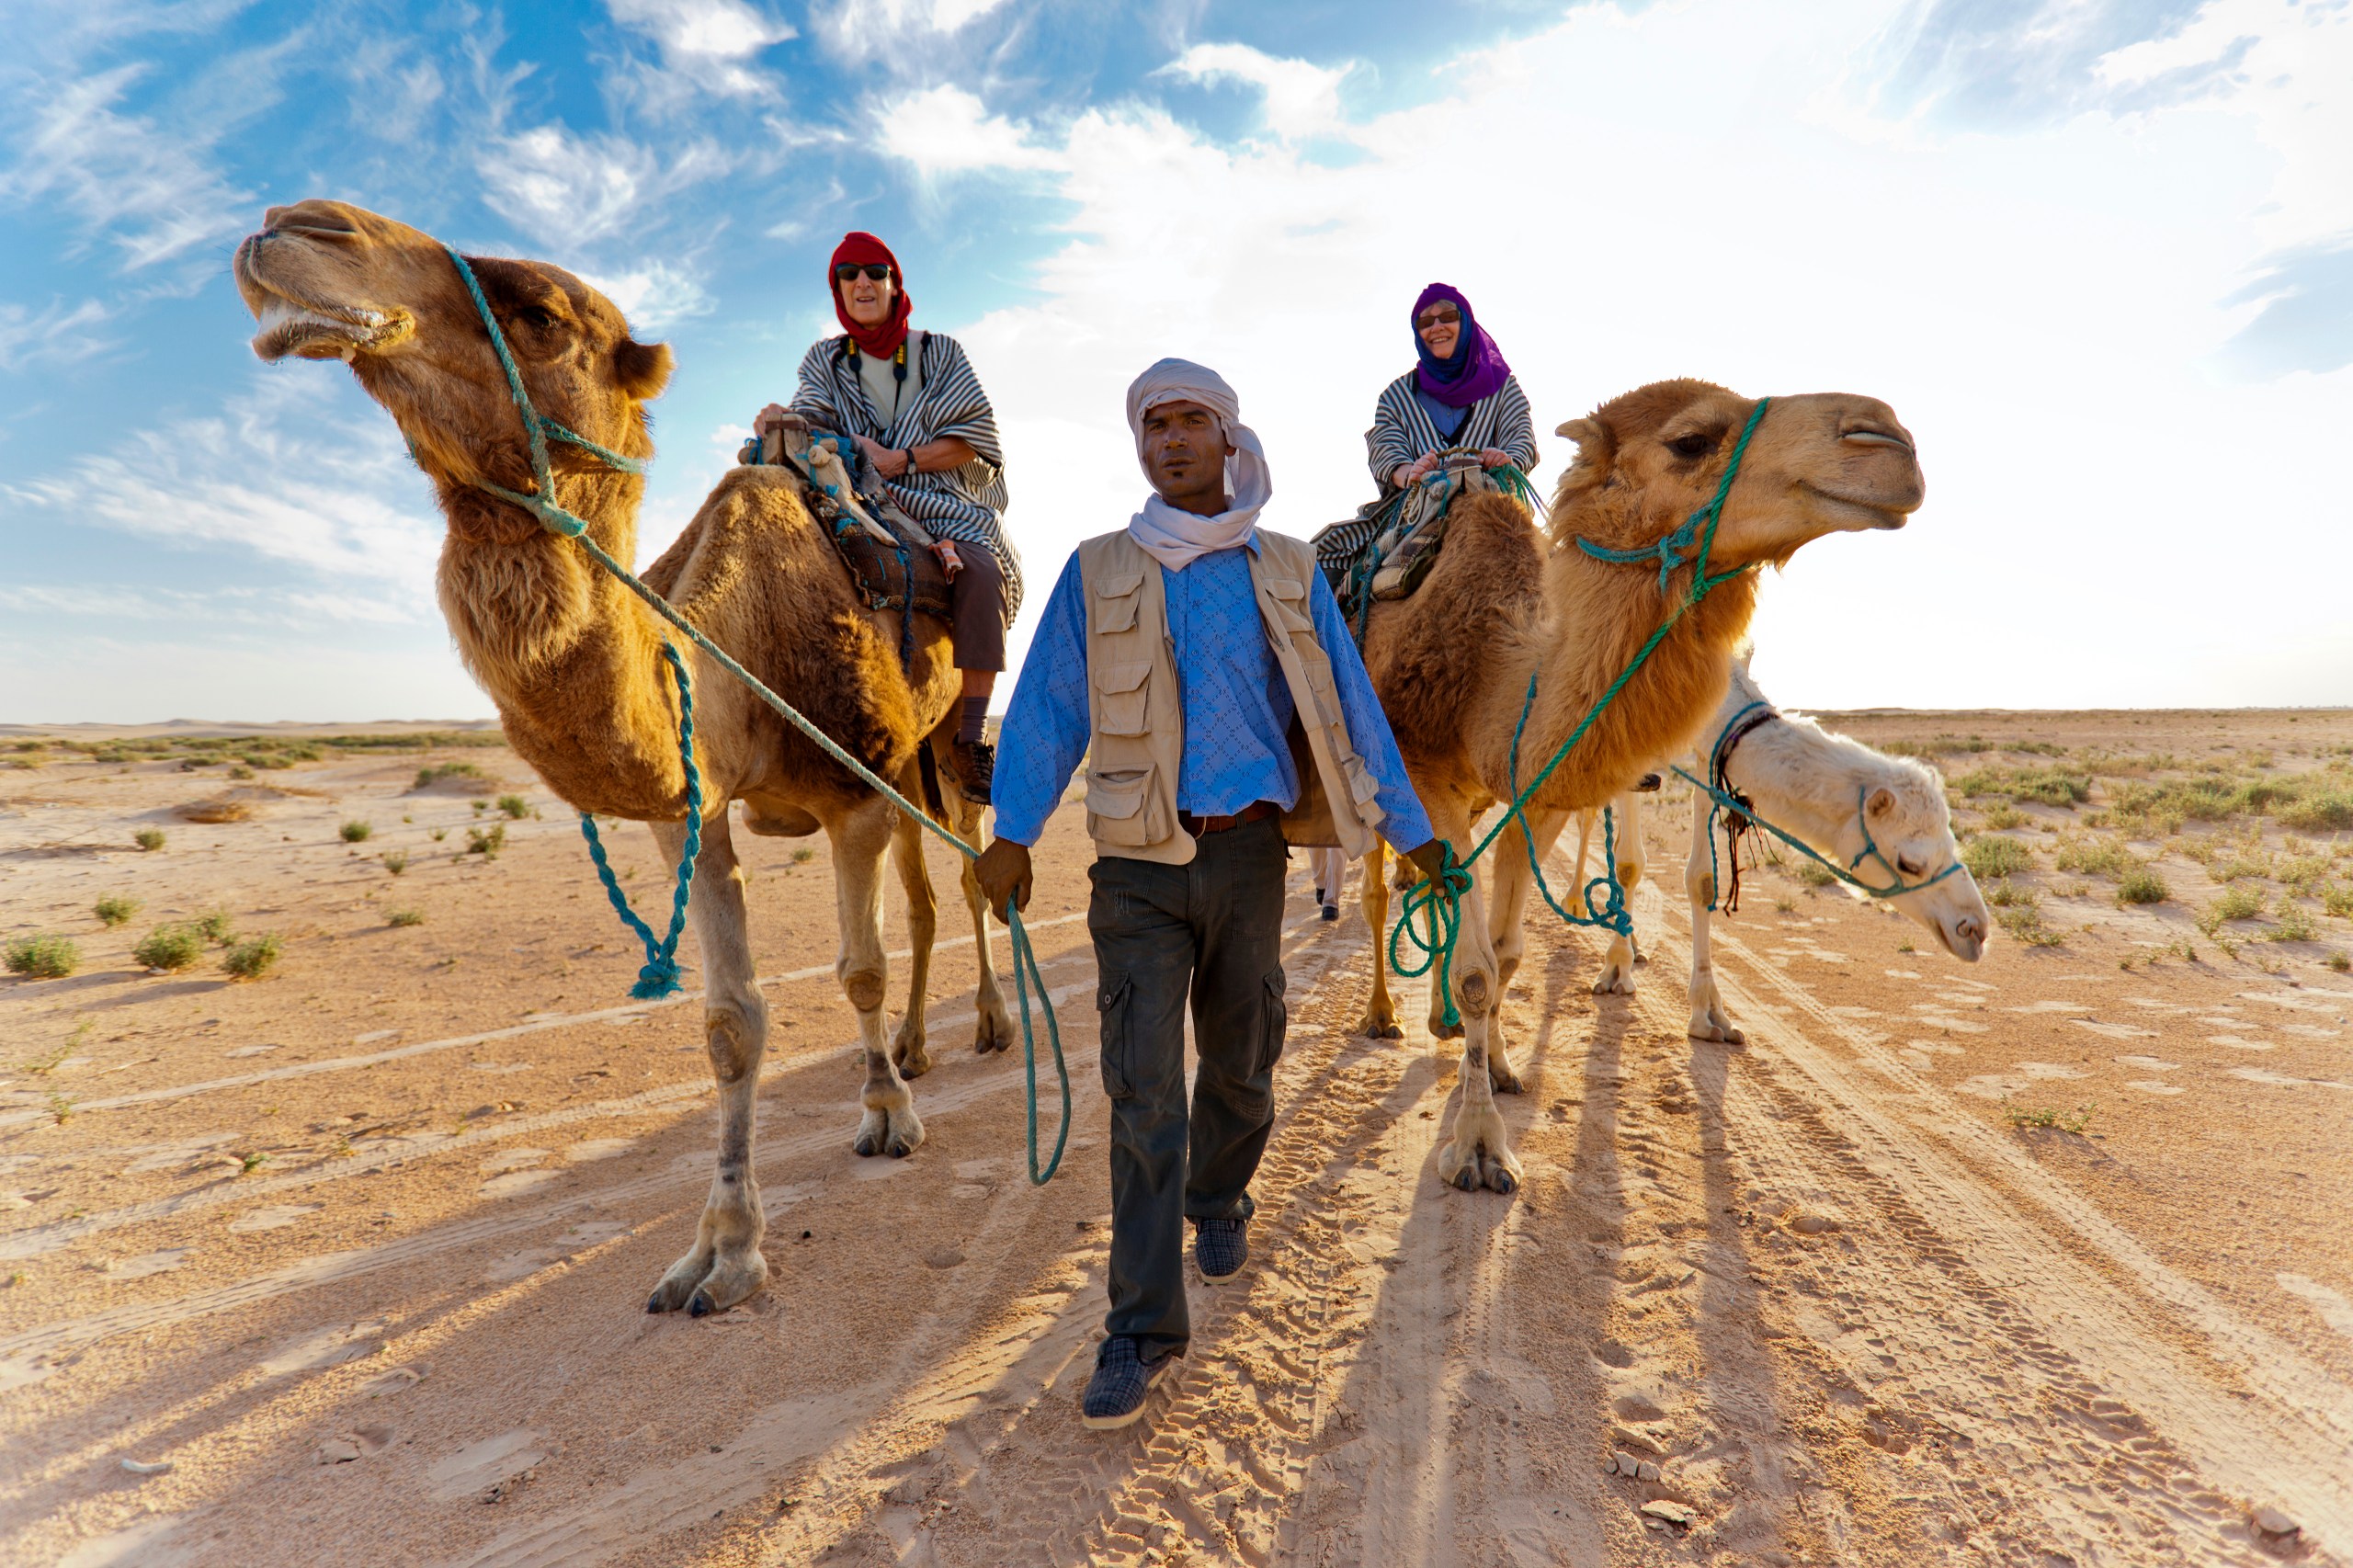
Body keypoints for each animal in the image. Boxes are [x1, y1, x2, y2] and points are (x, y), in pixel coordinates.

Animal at [233, 201, 1016, 1309]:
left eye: (542, 315)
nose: (291, 225)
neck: (741, 643)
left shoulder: (848, 793)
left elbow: (855, 967)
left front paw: (886, 1117)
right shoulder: (696, 810)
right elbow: (731, 1022)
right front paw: (723, 1251)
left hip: (940, 742)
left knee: (969, 862)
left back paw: (986, 1025)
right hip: (903, 761)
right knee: (924, 896)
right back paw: (916, 1044)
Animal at [1355, 379, 1919, 1187]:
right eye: (1690, 441)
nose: (1890, 440)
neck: (1495, 673)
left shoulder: (1539, 793)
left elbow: (1505, 952)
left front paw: (1497, 1070)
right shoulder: (1428, 774)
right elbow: (1477, 971)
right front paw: (1478, 1147)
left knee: (1432, 895)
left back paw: (1447, 1026)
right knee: (1378, 895)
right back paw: (1383, 1016)